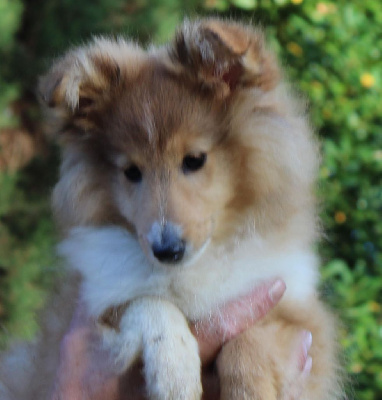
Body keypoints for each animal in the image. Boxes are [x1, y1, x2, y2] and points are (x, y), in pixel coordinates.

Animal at [0, 18, 342, 400]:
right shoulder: (96, 302)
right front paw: (174, 372)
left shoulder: (298, 313)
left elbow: (250, 335)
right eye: (131, 171)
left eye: (194, 159)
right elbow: (147, 301)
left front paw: (249, 386)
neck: (194, 268)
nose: (166, 250)